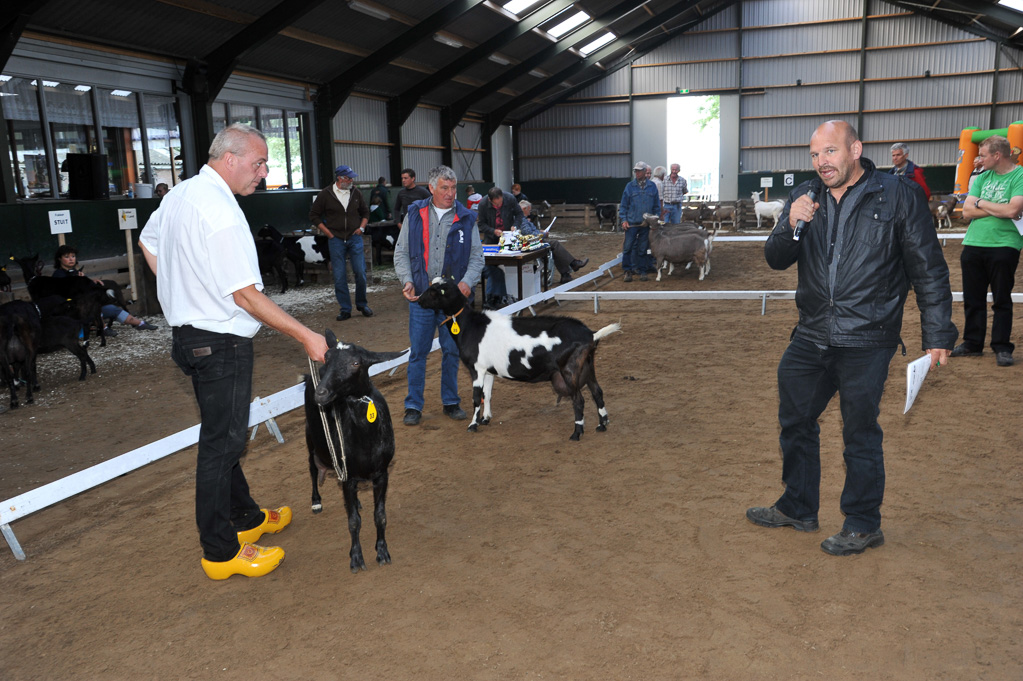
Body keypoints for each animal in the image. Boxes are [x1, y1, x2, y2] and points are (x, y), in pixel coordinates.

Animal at [300, 331, 401, 568]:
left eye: (356, 363)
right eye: (327, 357)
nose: (321, 393)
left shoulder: (382, 474)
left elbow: (380, 515)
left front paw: (382, 551)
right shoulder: (347, 475)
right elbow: (353, 521)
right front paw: (356, 557)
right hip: (310, 436)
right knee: (311, 467)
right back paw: (316, 501)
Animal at [415, 276, 621, 439]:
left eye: (433, 292)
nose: (417, 301)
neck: (470, 326)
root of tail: (591, 335)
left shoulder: (477, 369)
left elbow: (475, 398)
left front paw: (473, 425)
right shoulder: (488, 371)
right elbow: (487, 395)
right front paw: (485, 419)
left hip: (570, 370)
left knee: (579, 400)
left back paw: (577, 433)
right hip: (587, 367)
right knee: (597, 392)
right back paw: (602, 424)